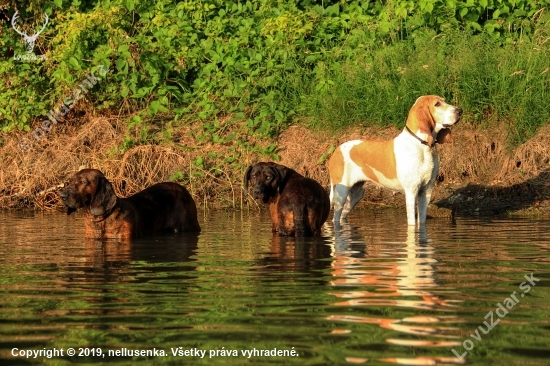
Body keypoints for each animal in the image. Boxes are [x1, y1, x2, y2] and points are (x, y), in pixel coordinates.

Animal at [59, 169, 202, 240]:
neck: (102, 219)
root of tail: (185, 190)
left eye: (83, 182)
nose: (62, 195)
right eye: (69, 181)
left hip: (188, 226)